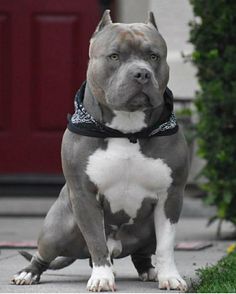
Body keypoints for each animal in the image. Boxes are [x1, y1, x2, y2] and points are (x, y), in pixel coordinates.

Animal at [11, 9, 189, 292]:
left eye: (153, 56)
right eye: (114, 56)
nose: (141, 74)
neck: (127, 131)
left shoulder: (170, 196)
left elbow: (166, 245)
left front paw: (170, 276)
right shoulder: (85, 195)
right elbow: (96, 241)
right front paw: (102, 278)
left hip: (147, 230)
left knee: (142, 253)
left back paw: (149, 271)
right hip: (57, 228)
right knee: (43, 254)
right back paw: (29, 273)